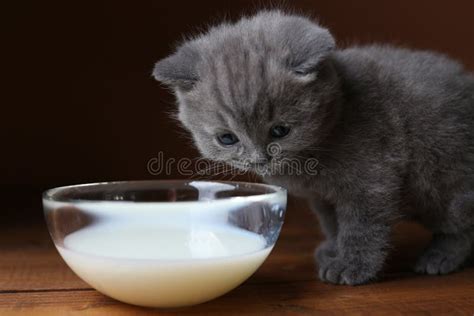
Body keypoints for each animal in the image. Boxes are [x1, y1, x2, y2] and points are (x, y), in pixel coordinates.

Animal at [153, 11, 474, 286]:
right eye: (227, 139)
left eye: (280, 131)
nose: (259, 159)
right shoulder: (323, 197)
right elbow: (333, 224)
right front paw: (333, 250)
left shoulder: (372, 183)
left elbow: (362, 228)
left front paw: (352, 266)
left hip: (442, 180)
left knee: (461, 223)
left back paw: (440, 257)